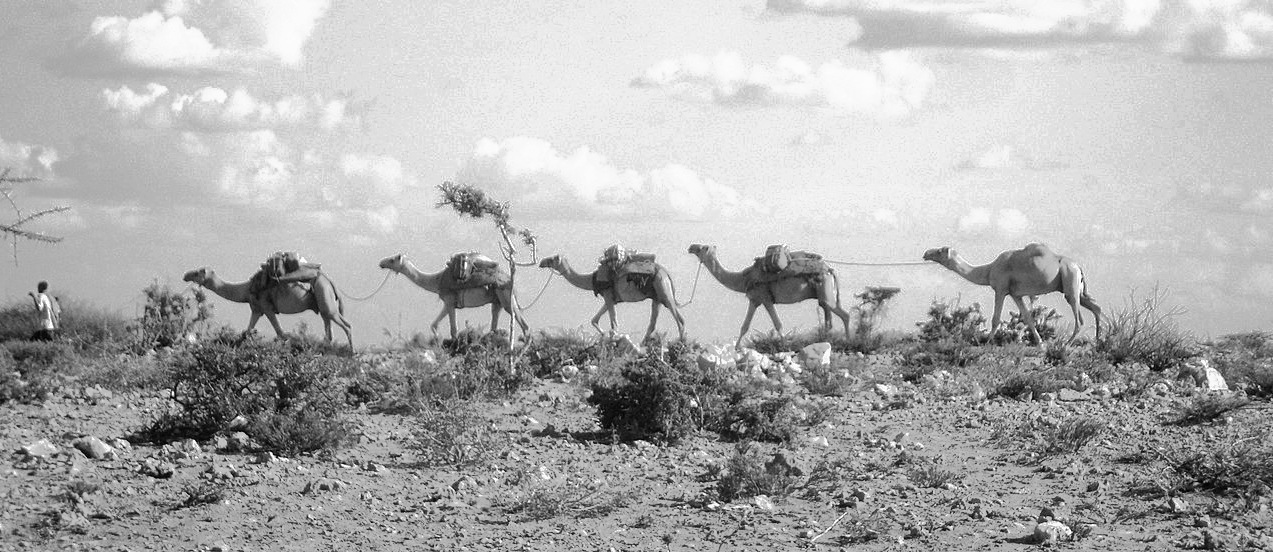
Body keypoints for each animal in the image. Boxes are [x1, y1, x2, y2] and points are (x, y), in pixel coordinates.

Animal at [182, 267, 352, 347]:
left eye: (198, 272)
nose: (185, 275)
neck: (247, 289)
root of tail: (330, 282)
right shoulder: (257, 309)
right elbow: (247, 332)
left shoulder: (267, 307)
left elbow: (281, 333)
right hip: (322, 302)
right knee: (329, 331)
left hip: (325, 298)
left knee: (346, 325)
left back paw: (352, 354)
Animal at [377, 253, 529, 341]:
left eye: (392, 260)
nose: (381, 263)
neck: (437, 280)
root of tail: (510, 279)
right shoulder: (448, 303)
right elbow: (434, 324)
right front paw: (438, 341)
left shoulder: (450, 301)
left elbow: (453, 330)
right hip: (497, 300)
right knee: (494, 324)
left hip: (505, 296)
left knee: (523, 323)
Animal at [537, 254, 686, 342]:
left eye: (552, 259)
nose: (541, 262)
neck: (592, 279)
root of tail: (666, 273)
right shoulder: (611, 298)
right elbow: (594, 320)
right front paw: (603, 335)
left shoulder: (608, 295)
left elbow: (614, 324)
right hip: (656, 297)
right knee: (653, 322)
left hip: (663, 289)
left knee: (679, 319)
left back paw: (681, 344)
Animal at [687, 244, 852, 348]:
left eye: (702, 248)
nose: (690, 247)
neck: (743, 278)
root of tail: (830, 270)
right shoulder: (755, 300)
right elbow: (744, 326)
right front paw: (737, 348)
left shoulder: (764, 298)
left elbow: (777, 324)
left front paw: (785, 345)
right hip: (824, 292)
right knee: (832, 315)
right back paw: (833, 339)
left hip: (825, 290)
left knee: (842, 314)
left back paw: (848, 341)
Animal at [922, 243, 1102, 344]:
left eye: (940, 251)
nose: (926, 253)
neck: (988, 270)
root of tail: (1078, 266)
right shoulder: (1016, 294)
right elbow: (1028, 318)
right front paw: (1040, 343)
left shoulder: (1001, 289)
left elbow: (995, 318)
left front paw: (986, 342)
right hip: (1073, 286)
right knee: (1096, 307)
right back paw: (1099, 341)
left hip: (1069, 279)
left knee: (1080, 319)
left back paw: (1066, 345)